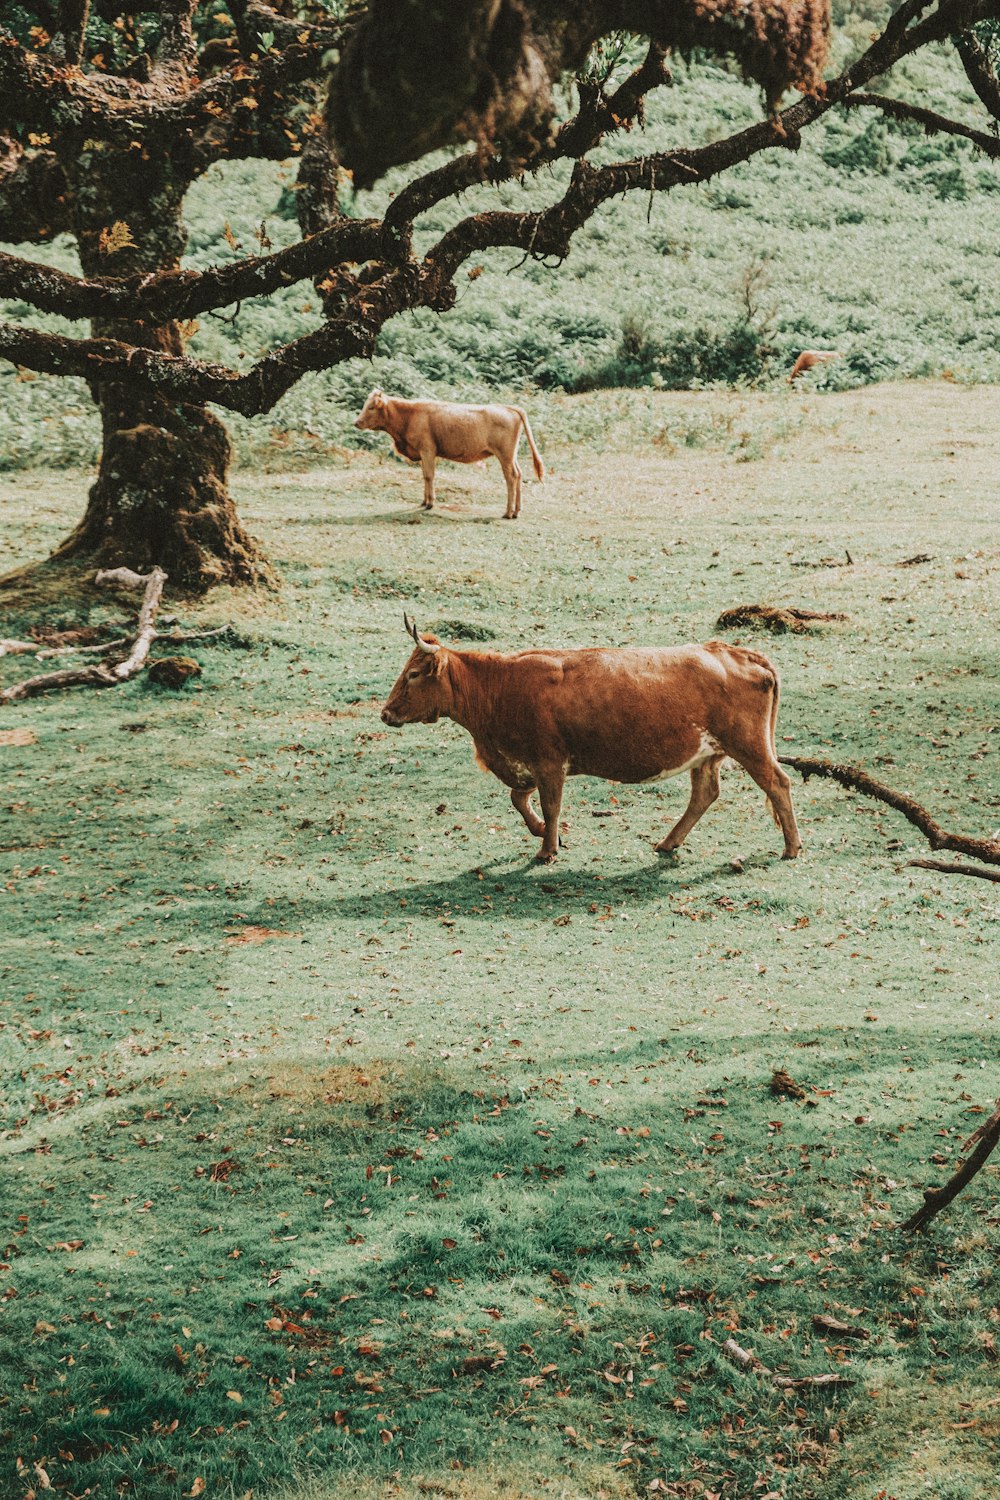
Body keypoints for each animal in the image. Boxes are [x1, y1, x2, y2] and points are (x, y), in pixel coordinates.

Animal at [353, 390, 542, 519]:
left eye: (371, 407)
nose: (356, 422)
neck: (409, 416)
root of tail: (509, 407)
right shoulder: (423, 454)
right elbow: (425, 475)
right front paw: (424, 501)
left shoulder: (427, 450)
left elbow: (429, 476)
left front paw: (430, 503)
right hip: (511, 455)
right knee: (519, 474)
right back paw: (516, 511)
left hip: (505, 455)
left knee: (511, 477)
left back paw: (508, 512)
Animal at [379, 612, 803, 870]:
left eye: (414, 674)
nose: (385, 713)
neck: (500, 687)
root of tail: (735, 651)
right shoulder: (529, 764)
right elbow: (519, 799)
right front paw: (543, 833)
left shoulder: (549, 762)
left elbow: (549, 805)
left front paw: (547, 849)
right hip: (707, 752)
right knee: (704, 794)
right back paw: (668, 842)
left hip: (749, 746)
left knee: (777, 783)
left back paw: (791, 846)